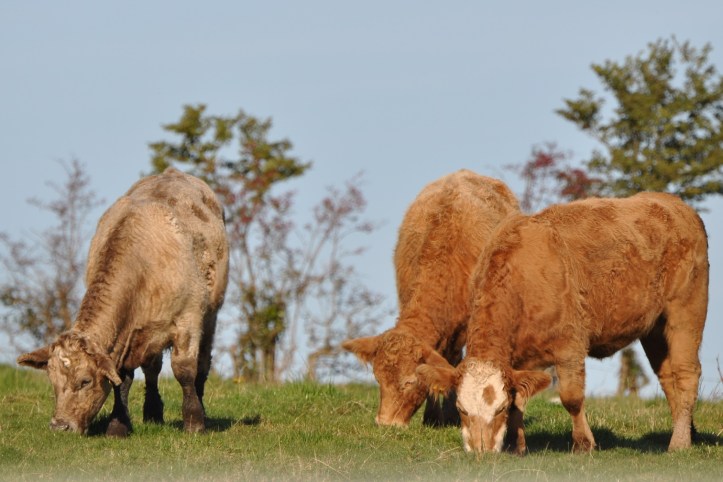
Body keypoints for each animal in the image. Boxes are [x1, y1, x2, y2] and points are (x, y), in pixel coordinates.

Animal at [17, 168, 229, 436]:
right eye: (53, 381)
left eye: (85, 381)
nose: (59, 426)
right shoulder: (126, 336)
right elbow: (121, 379)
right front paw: (118, 425)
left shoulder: (187, 320)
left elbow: (184, 370)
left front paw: (194, 422)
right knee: (152, 369)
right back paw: (152, 413)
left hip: (211, 313)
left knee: (202, 364)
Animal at [416, 192, 708, 454]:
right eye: (461, 410)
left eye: (498, 409)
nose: (481, 450)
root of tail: (674, 204)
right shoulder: (518, 361)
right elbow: (519, 399)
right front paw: (515, 445)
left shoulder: (570, 347)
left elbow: (571, 398)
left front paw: (583, 444)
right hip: (655, 328)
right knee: (668, 376)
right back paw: (688, 431)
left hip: (686, 311)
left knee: (686, 373)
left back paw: (680, 443)